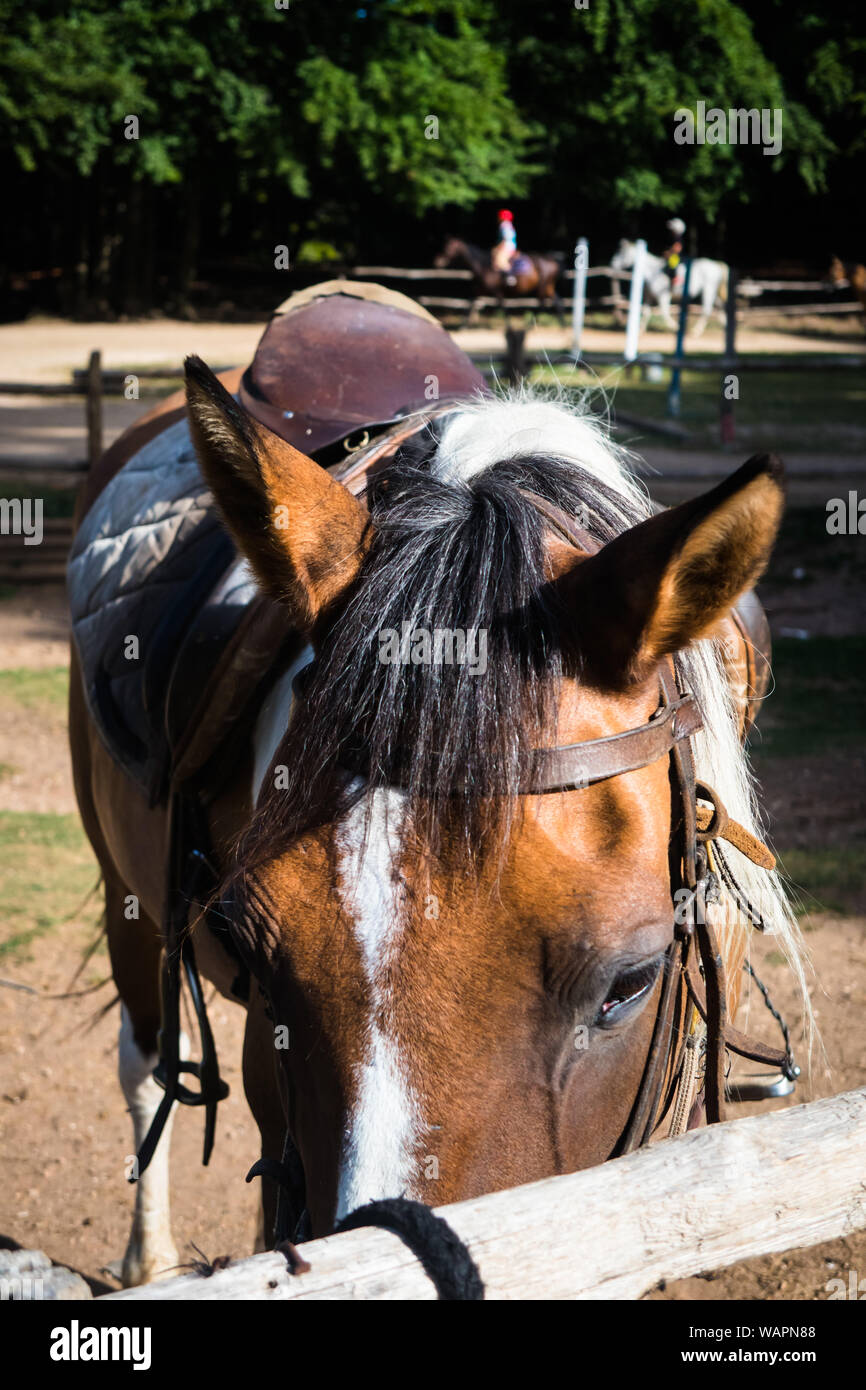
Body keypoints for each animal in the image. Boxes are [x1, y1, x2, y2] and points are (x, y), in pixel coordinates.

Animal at [434, 236, 565, 324]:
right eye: (445, 247)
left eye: (449, 248)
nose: (438, 261)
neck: (483, 266)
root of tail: (553, 260)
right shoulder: (477, 292)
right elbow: (469, 307)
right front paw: (463, 326)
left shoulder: (497, 292)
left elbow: (503, 308)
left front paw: (509, 325)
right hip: (548, 286)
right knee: (556, 301)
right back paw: (561, 323)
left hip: (543, 286)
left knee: (542, 303)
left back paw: (531, 322)